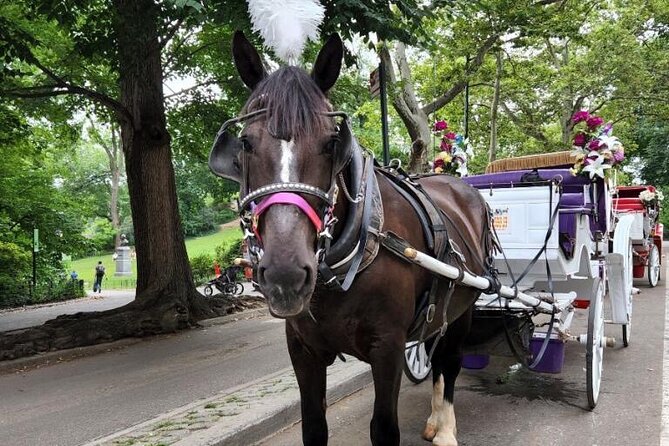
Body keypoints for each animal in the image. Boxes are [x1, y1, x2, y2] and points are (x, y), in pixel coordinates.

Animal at [209, 31, 494, 446]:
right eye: (245, 143)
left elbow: (384, 429)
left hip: (463, 306)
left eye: (332, 142)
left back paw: (445, 428)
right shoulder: (303, 349)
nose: (284, 276)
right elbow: (313, 427)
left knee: (448, 363)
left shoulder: (388, 348)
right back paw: (434, 420)